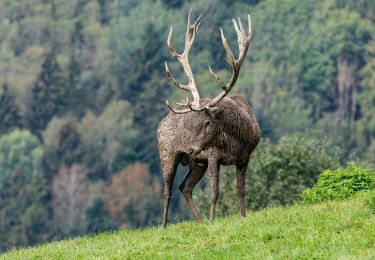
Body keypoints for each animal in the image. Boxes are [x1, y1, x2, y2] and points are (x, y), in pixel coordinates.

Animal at [157, 9, 260, 226]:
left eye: (207, 122)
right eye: (194, 122)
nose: (190, 148)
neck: (236, 140)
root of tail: (161, 123)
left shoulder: (245, 157)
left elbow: (241, 190)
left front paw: (243, 216)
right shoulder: (213, 155)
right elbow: (214, 192)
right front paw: (213, 221)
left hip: (197, 163)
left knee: (185, 187)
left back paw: (199, 220)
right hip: (167, 154)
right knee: (167, 190)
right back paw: (164, 225)